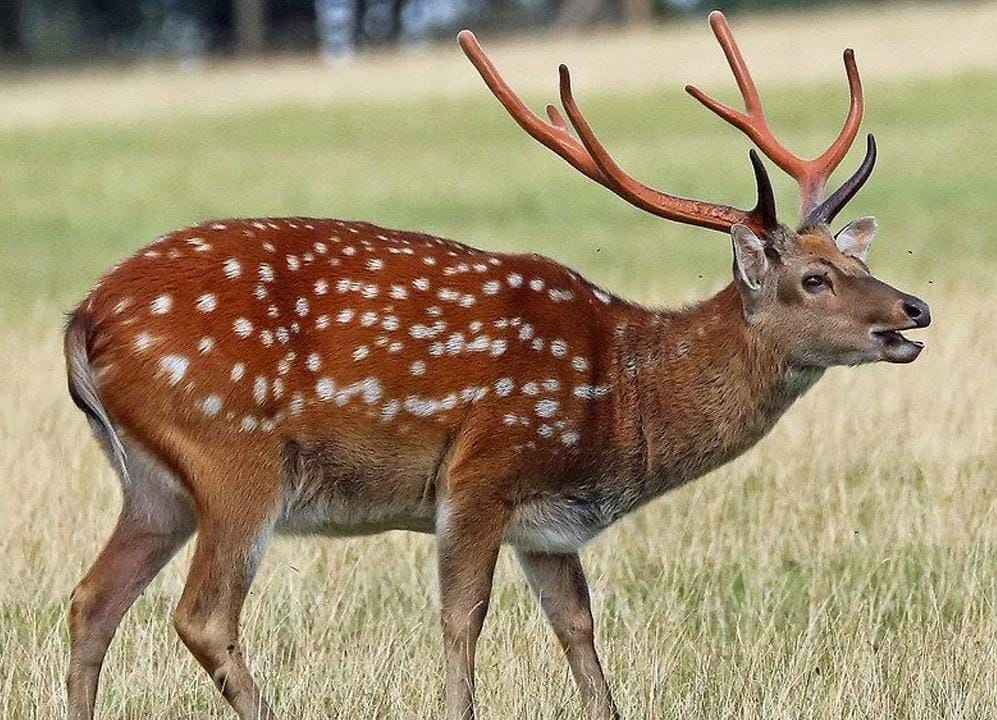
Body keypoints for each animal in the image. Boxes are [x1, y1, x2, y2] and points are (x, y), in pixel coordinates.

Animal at [63, 11, 930, 720]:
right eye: (812, 279)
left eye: (853, 260)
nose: (912, 312)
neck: (620, 398)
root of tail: (85, 317)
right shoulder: (482, 471)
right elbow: (461, 619)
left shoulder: (549, 528)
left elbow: (578, 630)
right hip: (232, 458)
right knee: (202, 614)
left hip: (155, 485)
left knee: (90, 601)